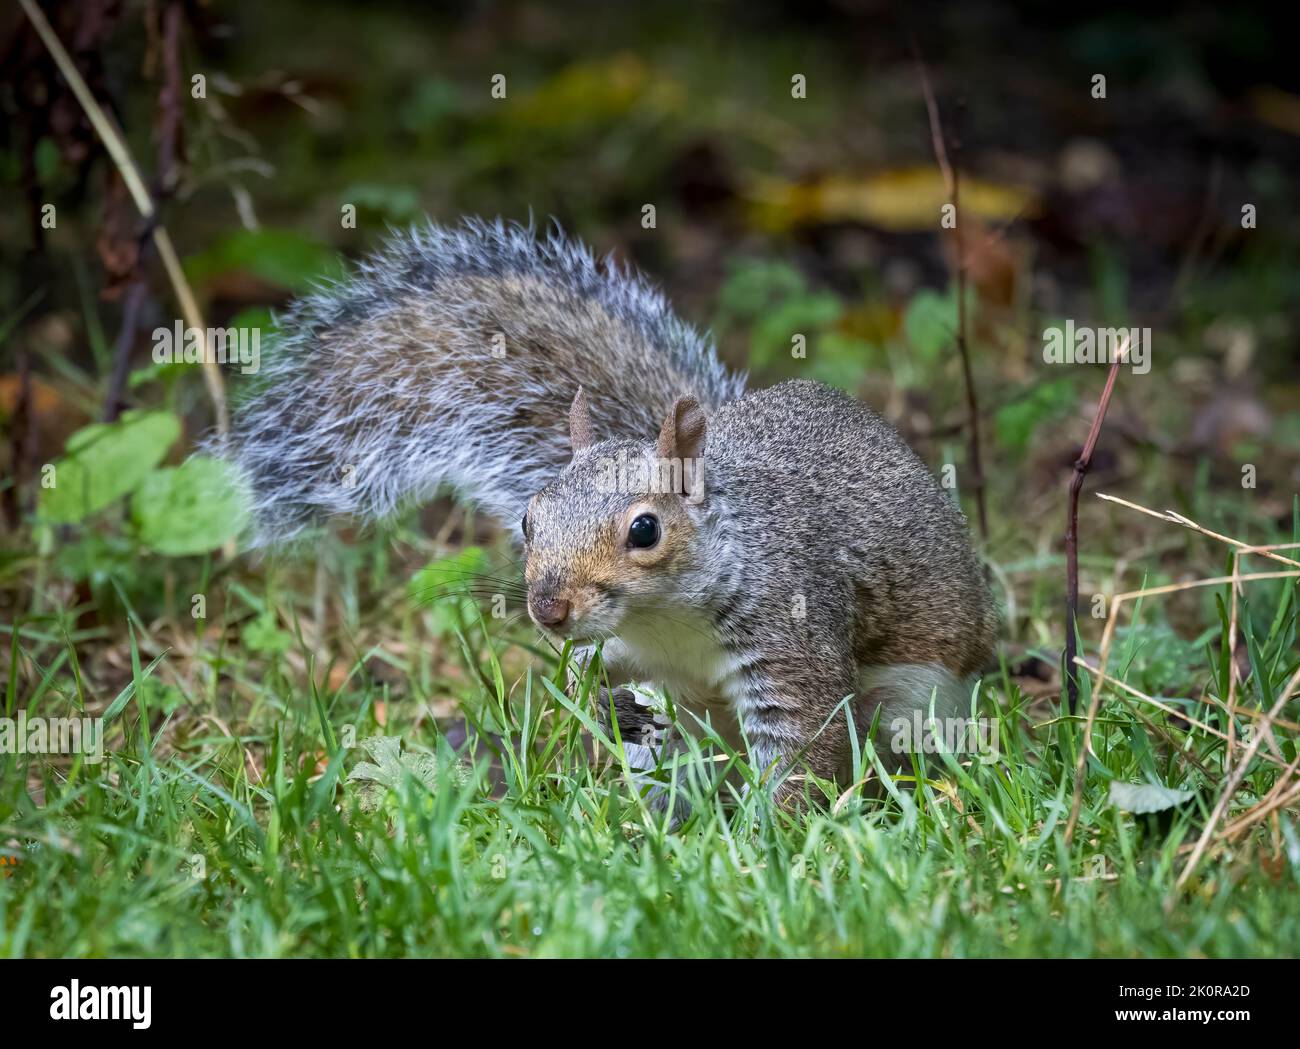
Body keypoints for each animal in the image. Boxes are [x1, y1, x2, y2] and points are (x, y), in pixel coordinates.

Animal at [222, 217, 998, 807]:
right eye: (529, 519)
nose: (548, 610)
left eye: (645, 529)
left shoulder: (790, 642)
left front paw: (774, 839)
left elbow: (801, 754)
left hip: (918, 698)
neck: (666, 620)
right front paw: (591, 715)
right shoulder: (620, 654)